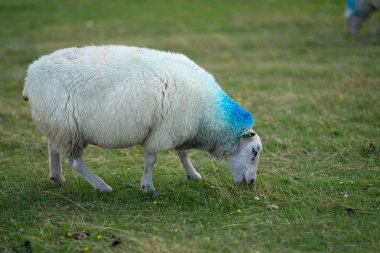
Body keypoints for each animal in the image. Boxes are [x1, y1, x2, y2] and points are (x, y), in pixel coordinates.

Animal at [23, 45, 262, 193]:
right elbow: (151, 160)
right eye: (254, 152)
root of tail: (31, 74)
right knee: (75, 162)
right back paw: (101, 186)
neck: (211, 115)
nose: (251, 183)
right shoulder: (164, 130)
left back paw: (57, 177)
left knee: (53, 149)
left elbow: (182, 153)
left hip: (57, 125)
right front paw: (147, 186)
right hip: (67, 129)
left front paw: (192, 174)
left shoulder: (178, 128)